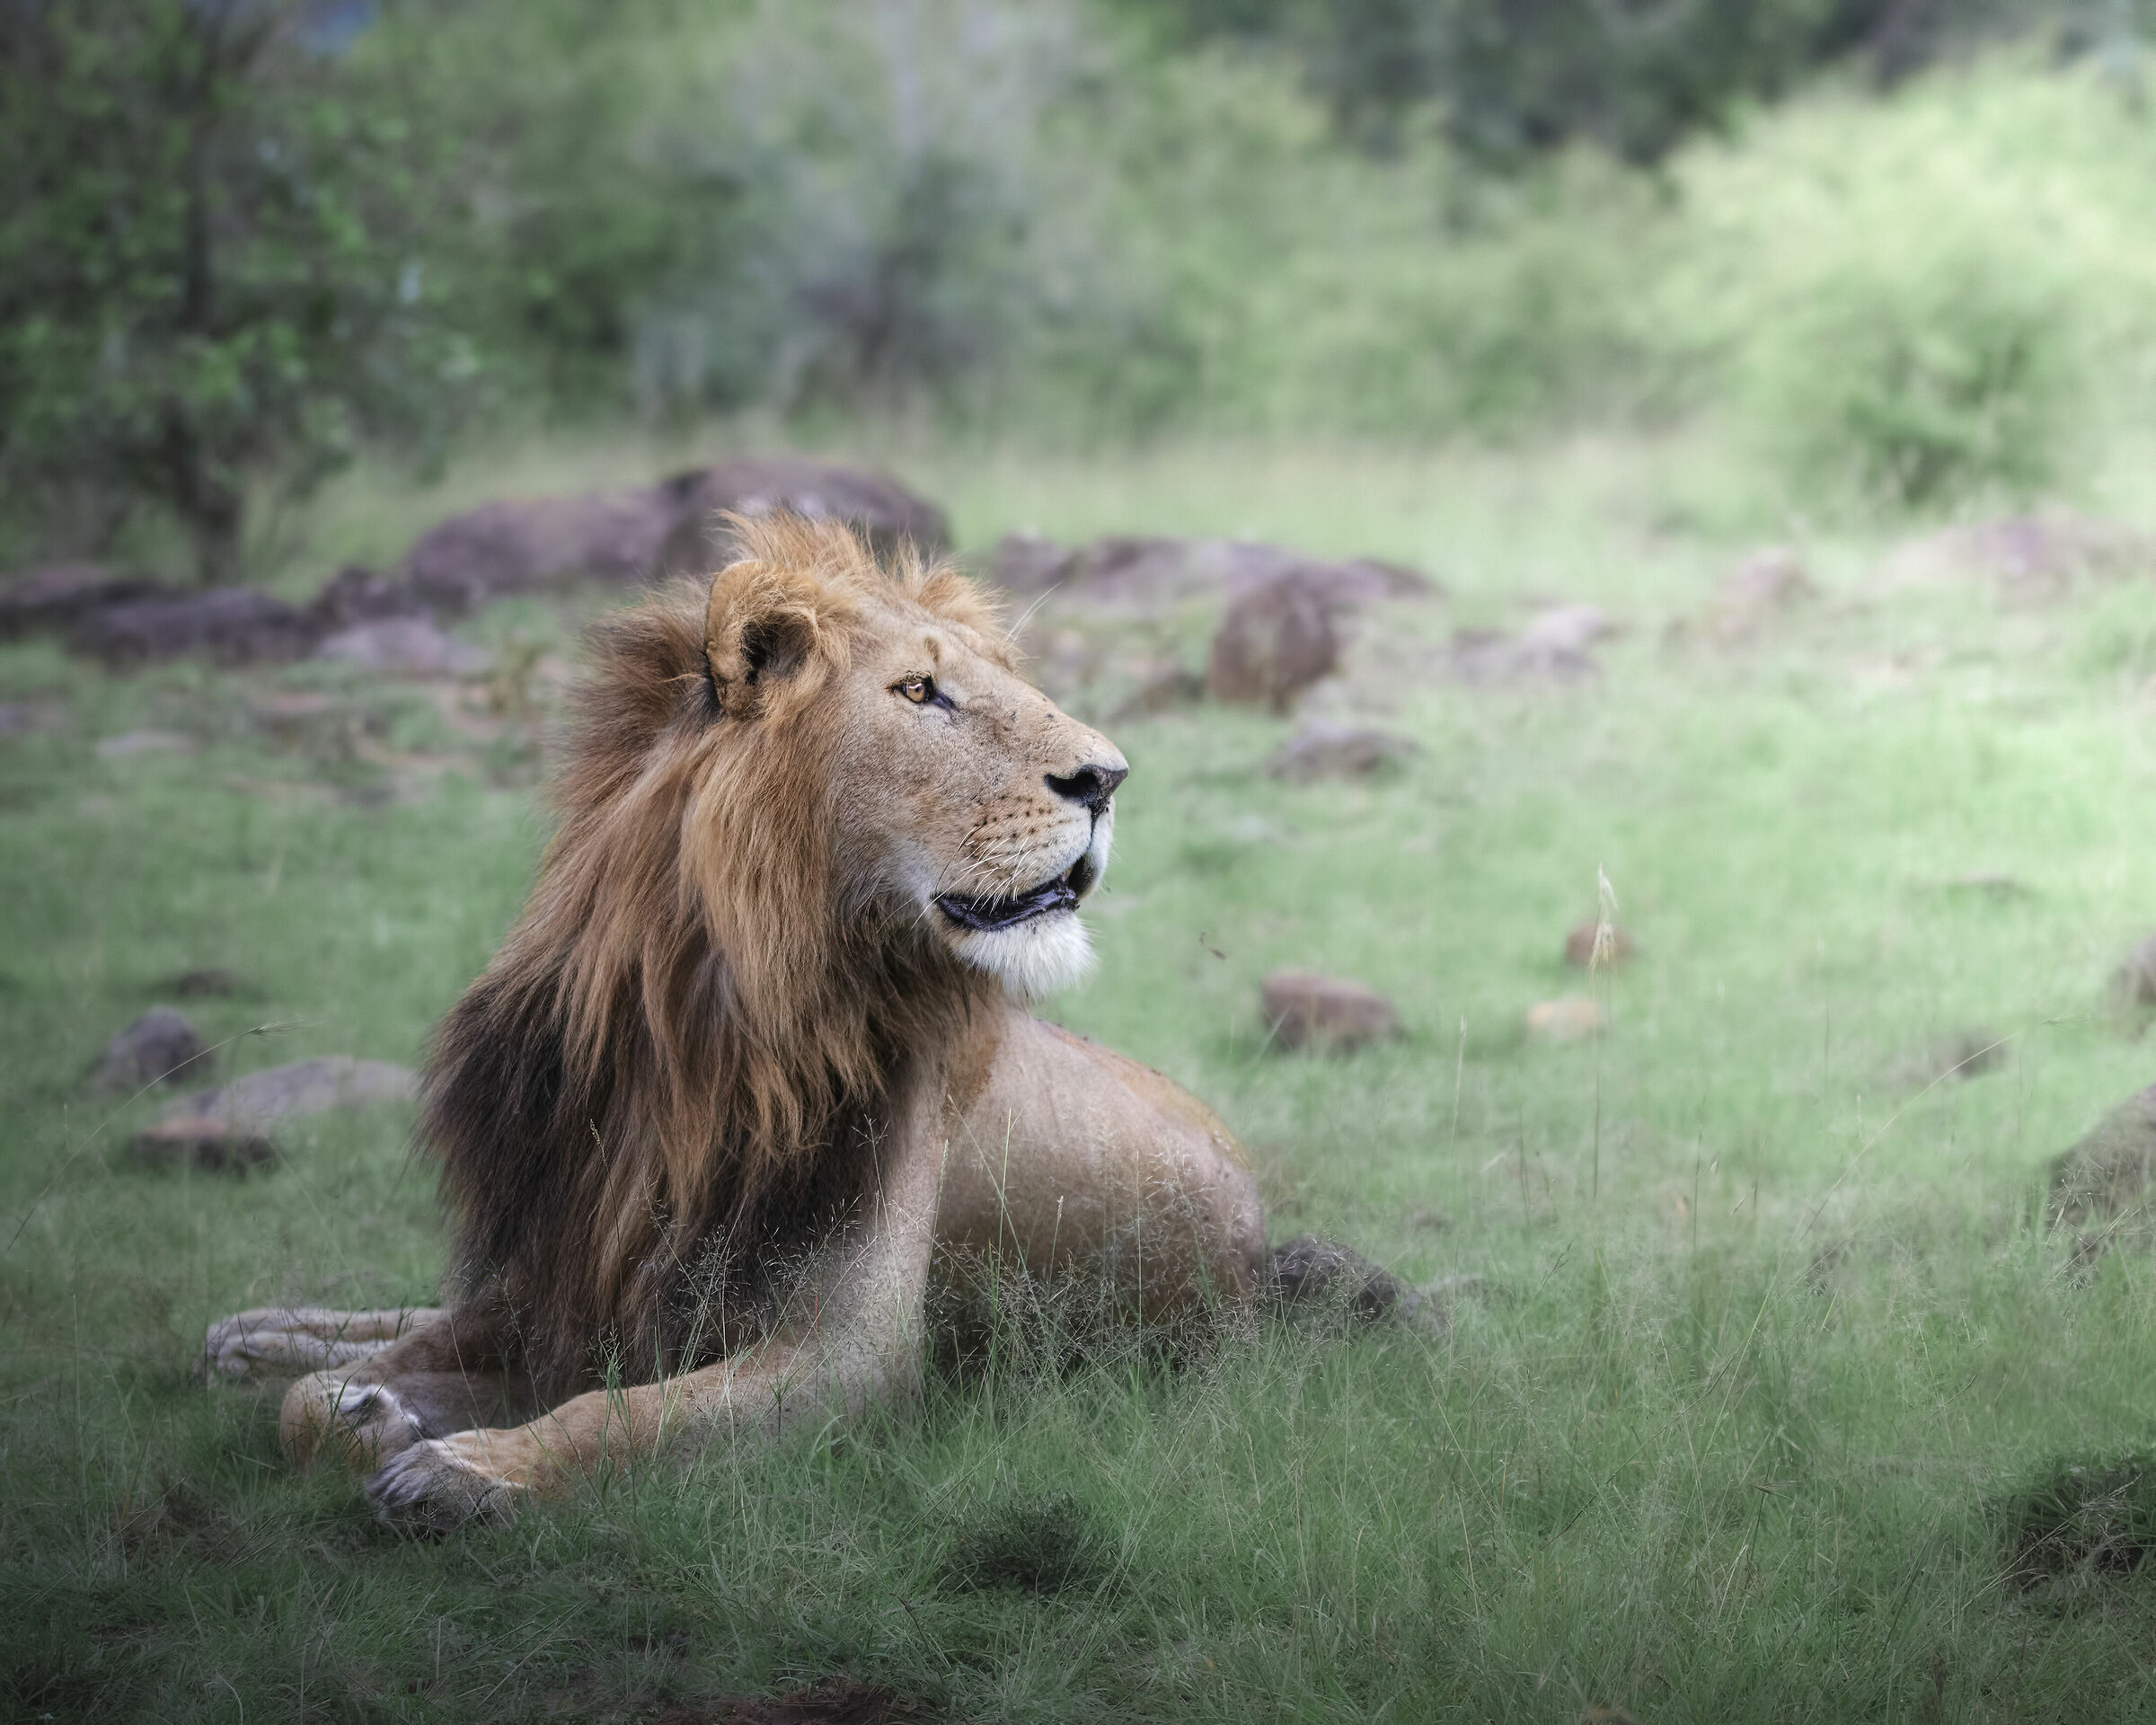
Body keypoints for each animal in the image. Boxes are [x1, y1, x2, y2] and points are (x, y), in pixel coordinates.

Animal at [199, 513, 1346, 1530]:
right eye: (920, 691)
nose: (1107, 779)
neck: (708, 1024)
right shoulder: (565, 1274)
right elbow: (316, 1408)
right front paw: (370, 1407)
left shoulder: (850, 1357)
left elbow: (619, 1418)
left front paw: (466, 1468)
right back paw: (254, 1337)